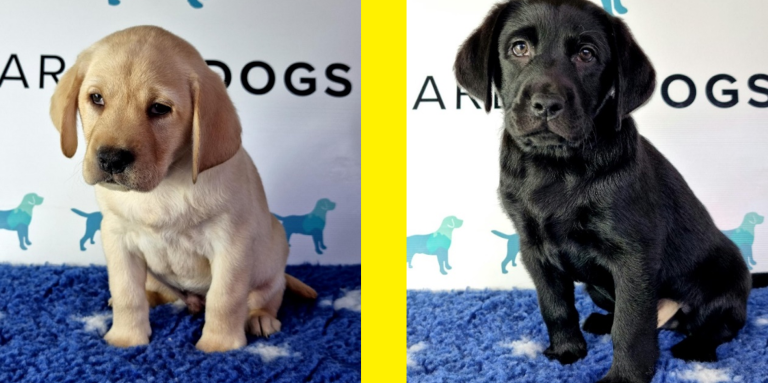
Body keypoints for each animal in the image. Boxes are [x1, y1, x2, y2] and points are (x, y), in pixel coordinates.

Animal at [50, 25, 316, 352]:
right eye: (96, 98)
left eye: (159, 108)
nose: (111, 158)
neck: (162, 186)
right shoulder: (117, 238)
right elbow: (127, 293)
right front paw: (126, 338)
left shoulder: (232, 244)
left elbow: (225, 298)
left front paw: (219, 346)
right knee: (154, 292)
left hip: (273, 259)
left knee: (266, 295)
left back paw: (260, 318)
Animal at [452, 0, 760, 383]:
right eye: (519, 48)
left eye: (587, 54)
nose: (546, 104)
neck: (556, 165)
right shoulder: (534, 248)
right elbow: (555, 306)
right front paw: (567, 350)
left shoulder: (633, 256)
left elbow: (632, 326)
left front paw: (625, 377)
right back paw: (600, 321)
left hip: (726, 275)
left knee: (722, 324)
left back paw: (696, 349)